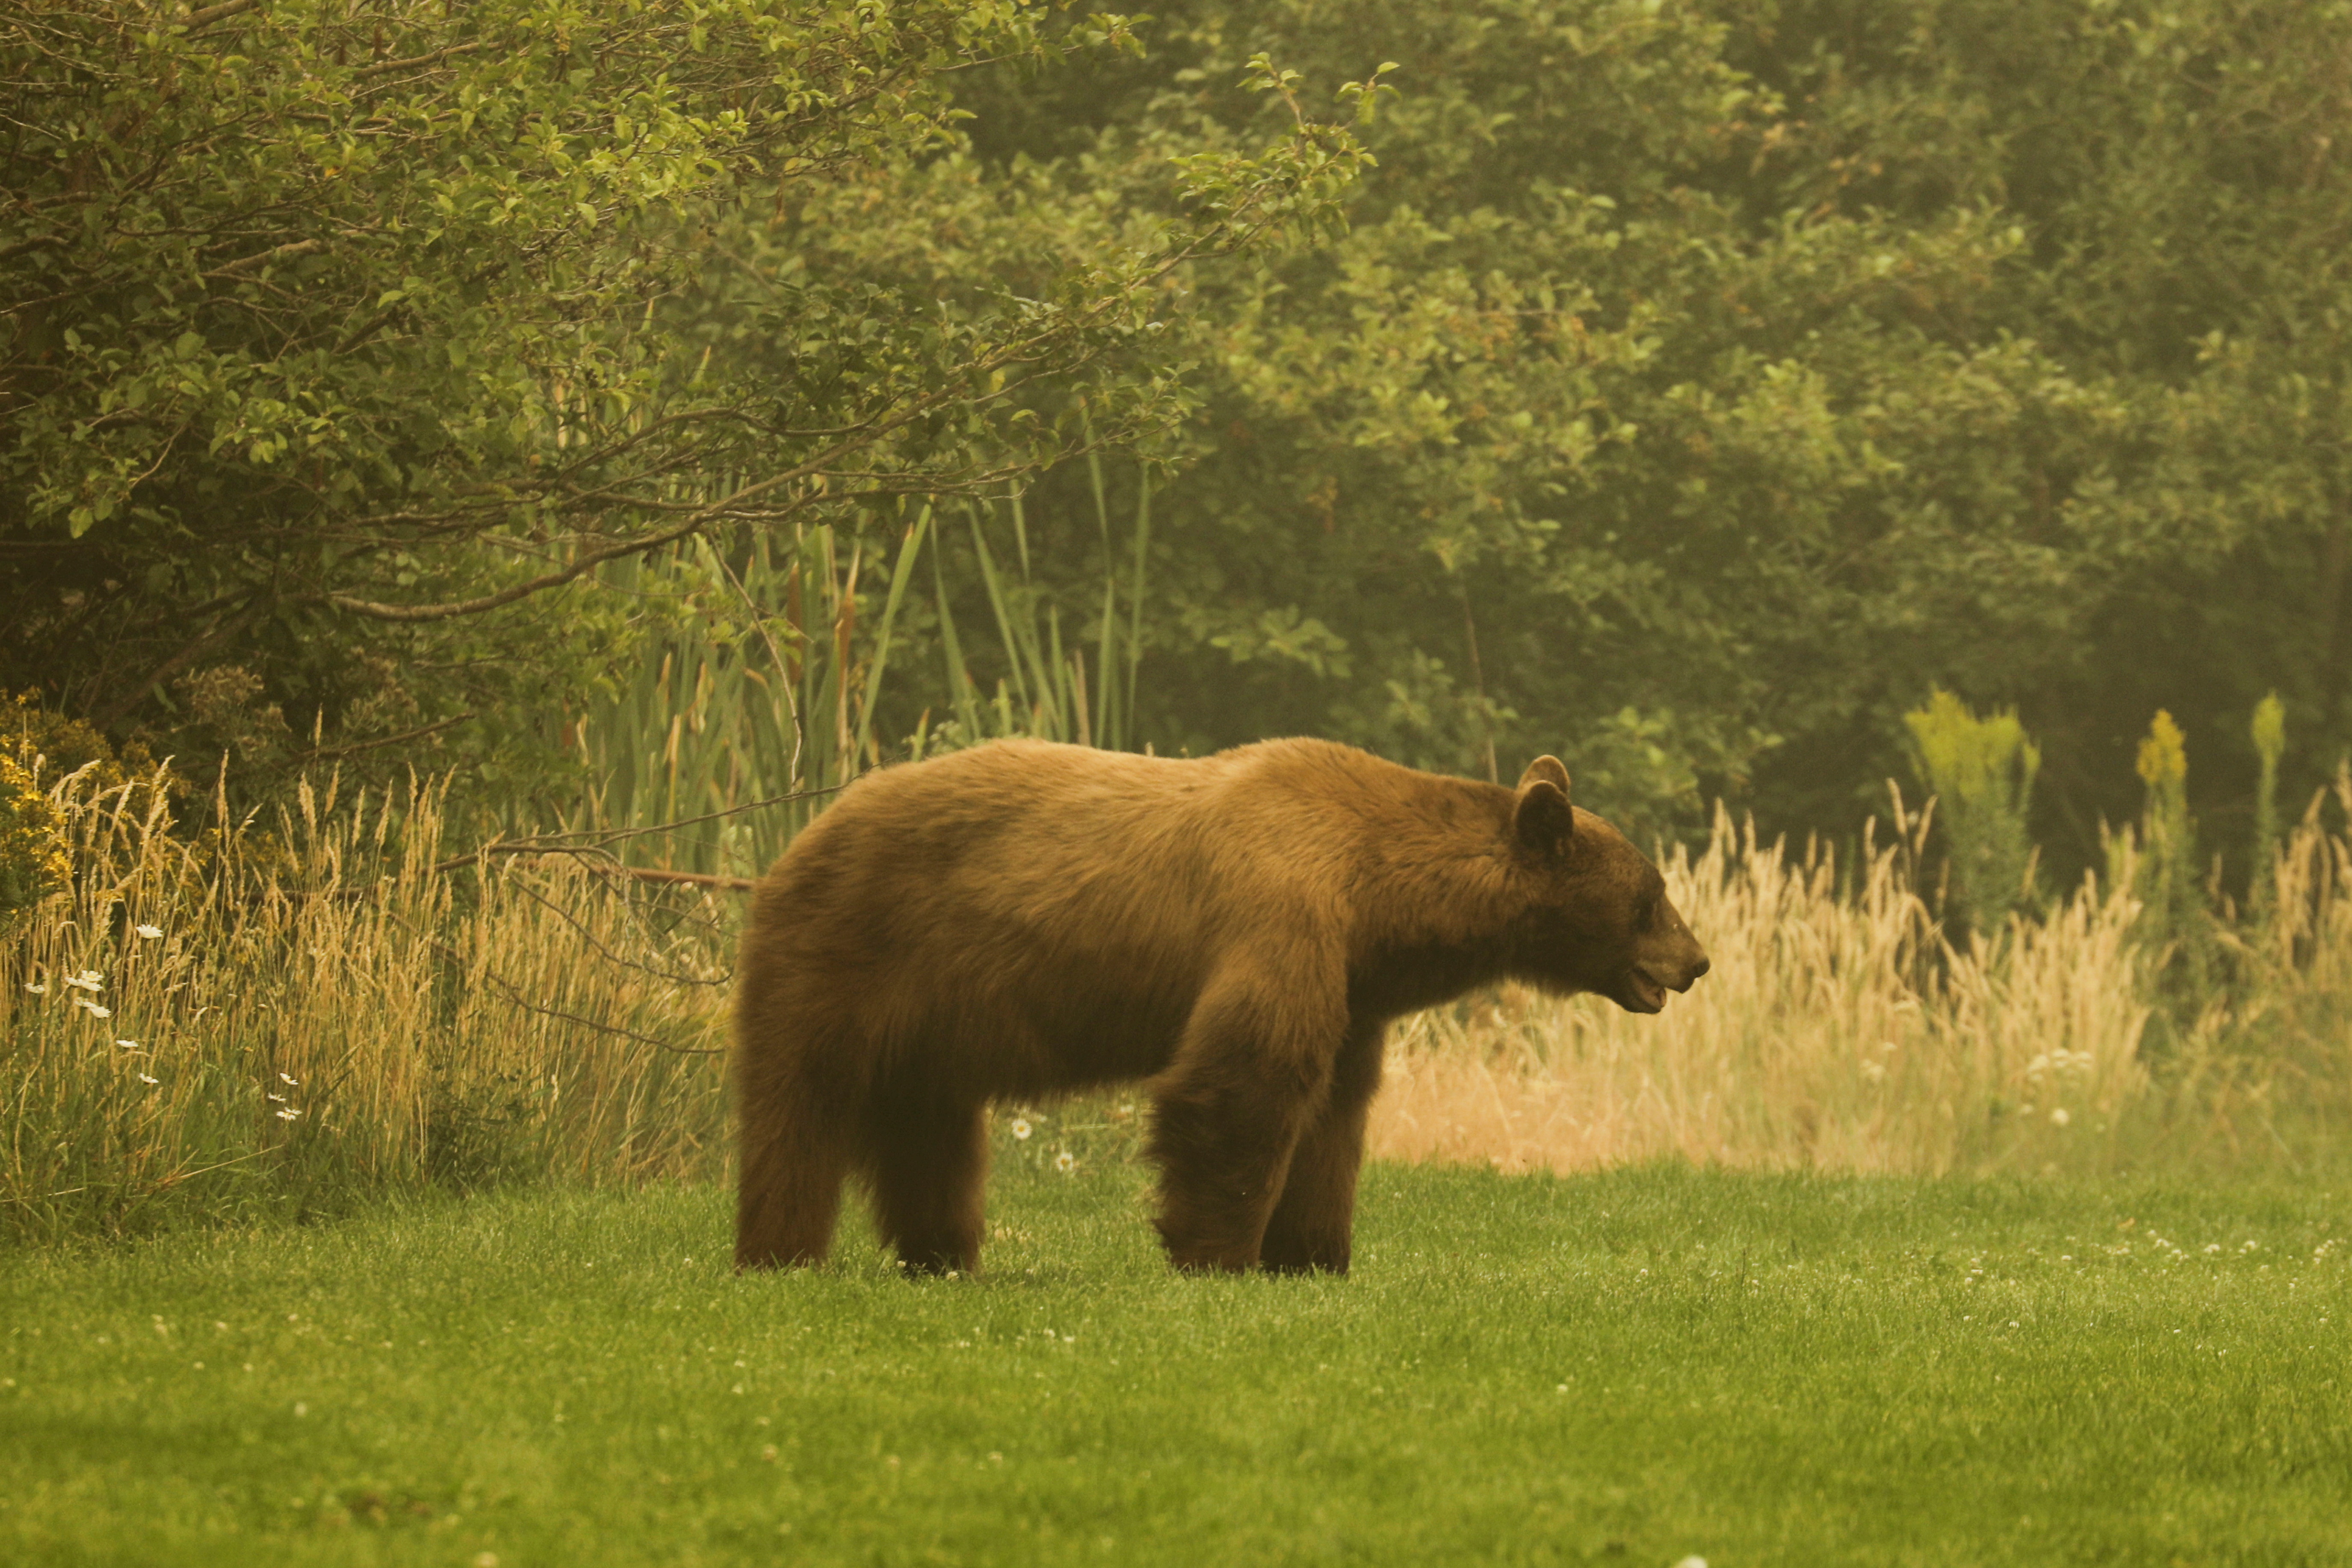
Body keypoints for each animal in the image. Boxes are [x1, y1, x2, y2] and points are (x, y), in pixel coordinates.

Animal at [734, 738, 1712, 1279]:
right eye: (1652, 895)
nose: (1697, 961)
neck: (1379, 897)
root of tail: (799, 837)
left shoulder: (1352, 988)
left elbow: (1334, 1115)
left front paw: (1315, 1254)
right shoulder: (1281, 915)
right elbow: (1246, 1083)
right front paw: (1217, 1254)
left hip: (934, 1020)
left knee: (931, 1137)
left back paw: (942, 1257)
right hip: (846, 953)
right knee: (798, 1111)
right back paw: (779, 1253)